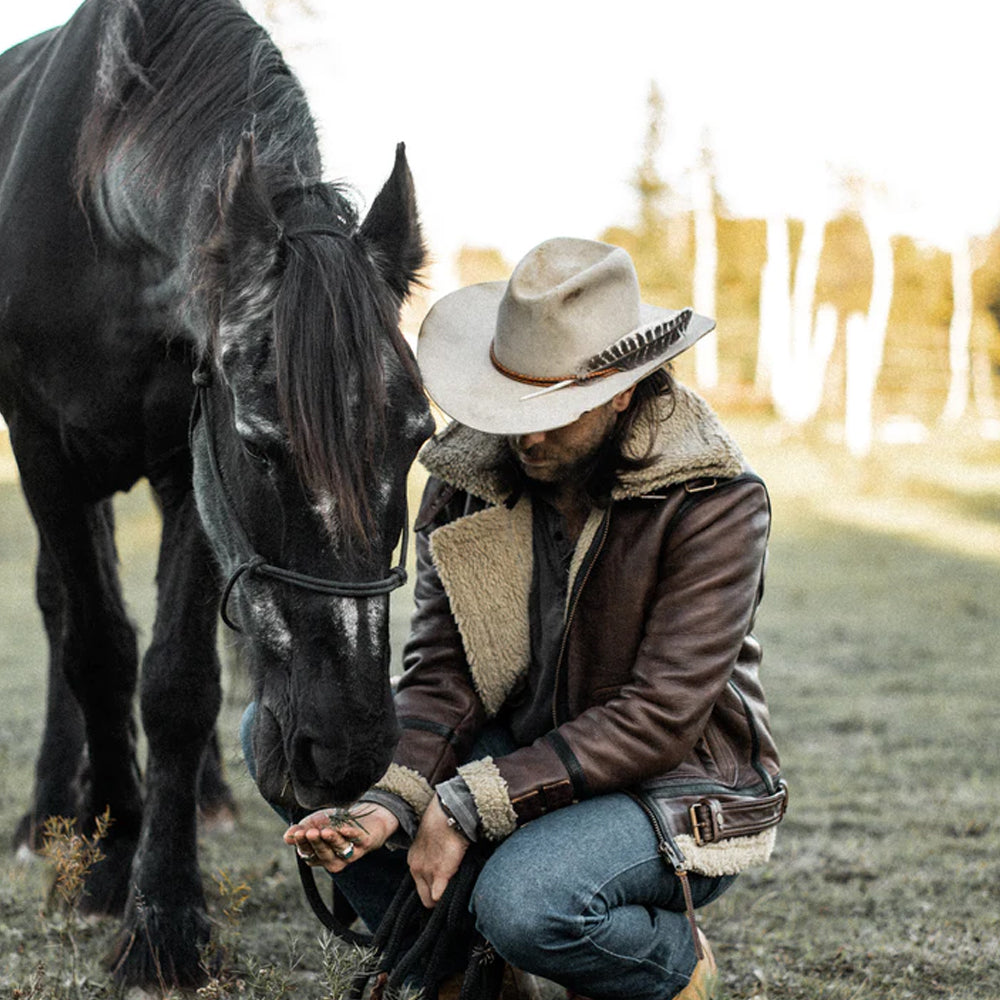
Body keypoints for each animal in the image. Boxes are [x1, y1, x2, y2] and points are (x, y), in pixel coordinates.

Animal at [0, 0, 428, 984]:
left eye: (419, 438)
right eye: (262, 444)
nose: (347, 750)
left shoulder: (188, 461)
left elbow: (179, 683)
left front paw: (167, 908)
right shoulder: (44, 448)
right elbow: (98, 650)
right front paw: (114, 868)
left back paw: (201, 794)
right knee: (61, 610)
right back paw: (57, 813)